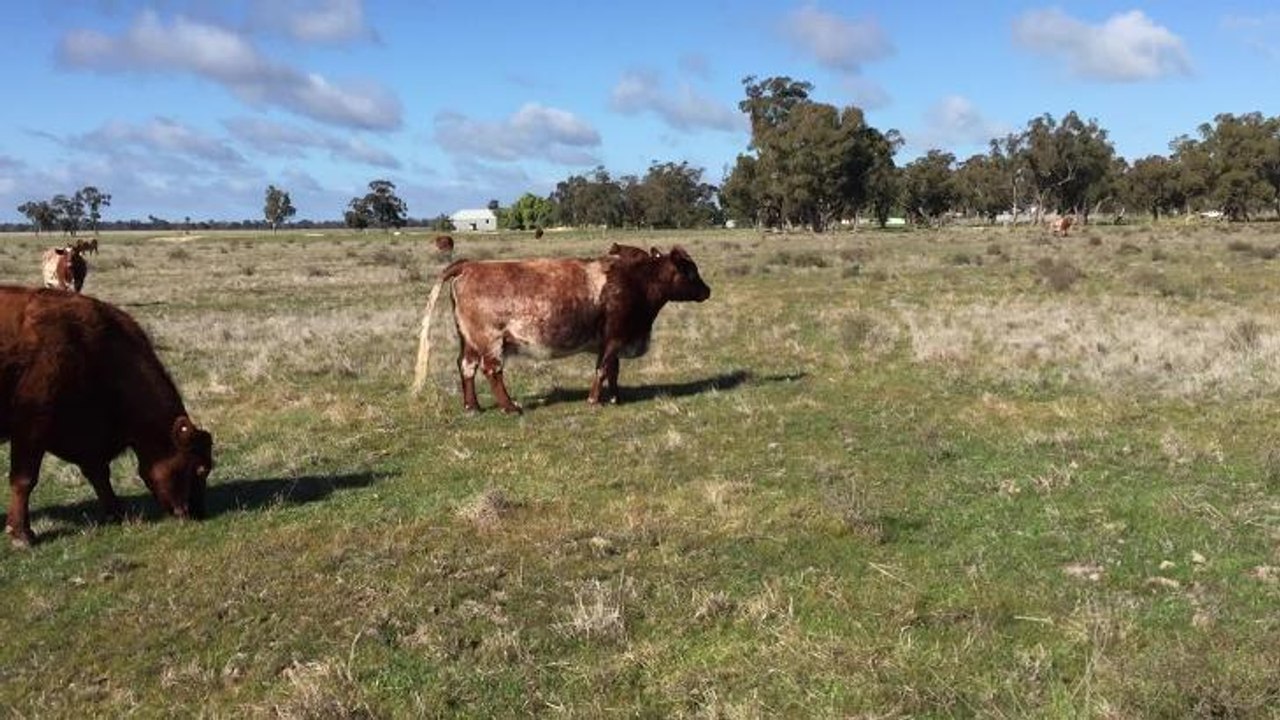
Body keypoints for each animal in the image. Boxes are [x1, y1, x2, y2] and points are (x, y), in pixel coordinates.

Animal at [0, 287, 214, 547]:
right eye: (201, 469)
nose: (198, 513)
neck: (85, 344)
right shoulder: (30, 429)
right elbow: (24, 479)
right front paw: (22, 535)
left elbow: (99, 474)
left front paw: (118, 513)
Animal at [412, 246, 711, 413]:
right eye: (691, 271)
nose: (707, 290)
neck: (636, 281)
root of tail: (469, 265)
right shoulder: (614, 336)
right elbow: (603, 369)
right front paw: (594, 400)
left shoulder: (612, 341)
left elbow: (613, 370)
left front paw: (615, 397)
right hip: (490, 339)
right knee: (491, 371)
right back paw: (510, 407)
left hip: (469, 340)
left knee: (466, 367)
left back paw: (472, 406)